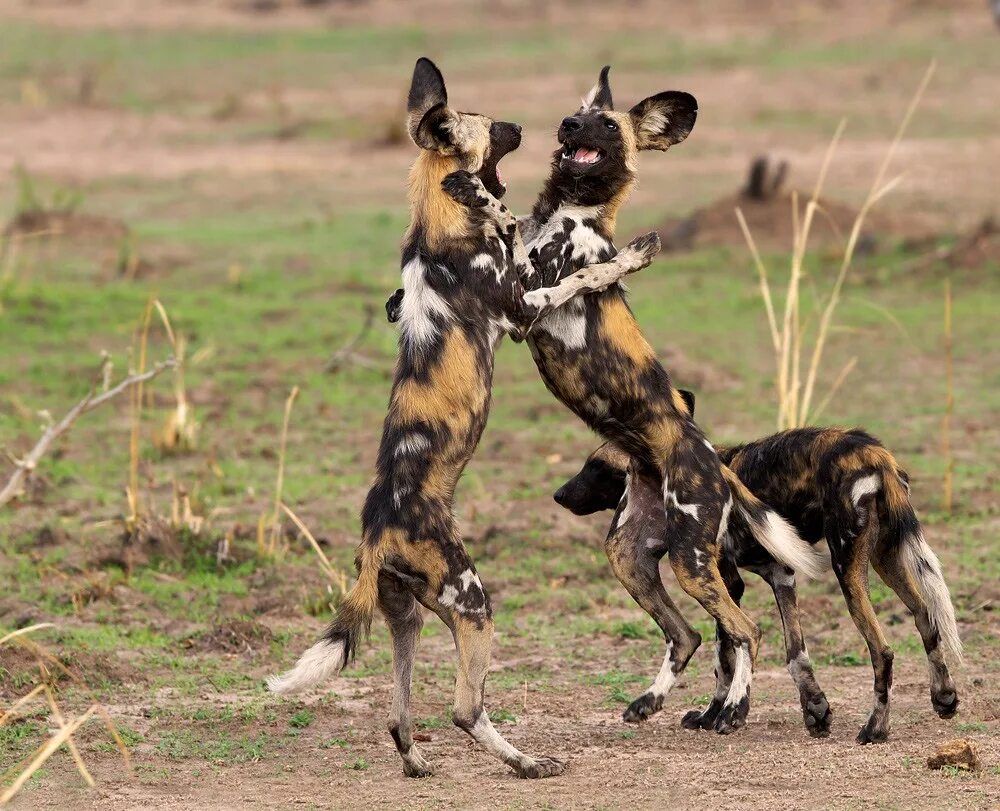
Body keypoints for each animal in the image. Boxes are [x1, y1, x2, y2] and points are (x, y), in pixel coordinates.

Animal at [266, 57, 660, 780]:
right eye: (493, 125)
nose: (531, 124)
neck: (438, 227)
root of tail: (378, 534)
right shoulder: (522, 308)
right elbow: (572, 275)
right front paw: (627, 255)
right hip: (472, 601)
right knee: (464, 708)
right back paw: (528, 763)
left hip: (410, 616)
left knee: (400, 710)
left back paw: (418, 762)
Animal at [556, 412, 960, 744]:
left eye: (596, 466)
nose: (559, 494)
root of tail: (873, 453)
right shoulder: (781, 574)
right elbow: (795, 654)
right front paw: (815, 710)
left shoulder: (728, 581)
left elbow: (725, 656)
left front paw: (714, 715)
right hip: (885, 558)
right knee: (926, 617)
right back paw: (944, 697)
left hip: (848, 568)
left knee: (882, 650)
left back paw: (875, 728)